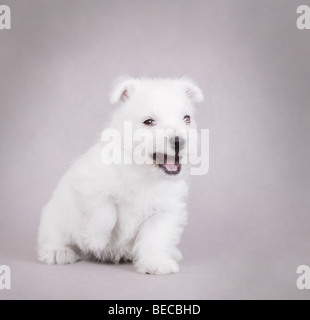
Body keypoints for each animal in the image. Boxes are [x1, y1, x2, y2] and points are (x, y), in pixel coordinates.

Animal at [37, 76, 203, 274]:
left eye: (187, 118)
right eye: (148, 121)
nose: (179, 142)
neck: (142, 171)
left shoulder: (164, 212)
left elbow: (155, 238)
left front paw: (155, 263)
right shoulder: (90, 186)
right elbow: (106, 212)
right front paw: (96, 240)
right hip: (55, 216)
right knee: (54, 235)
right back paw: (58, 251)